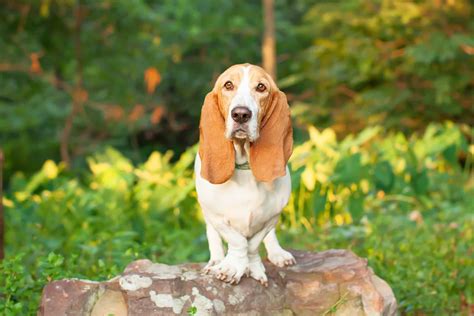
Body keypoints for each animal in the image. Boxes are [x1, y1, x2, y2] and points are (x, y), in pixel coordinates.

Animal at [194, 63, 294, 286]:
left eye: (261, 87)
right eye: (228, 85)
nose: (241, 114)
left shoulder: (271, 218)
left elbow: (253, 244)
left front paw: (253, 268)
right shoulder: (216, 216)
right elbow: (237, 241)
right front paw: (230, 267)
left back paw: (278, 253)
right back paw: (215, 261)